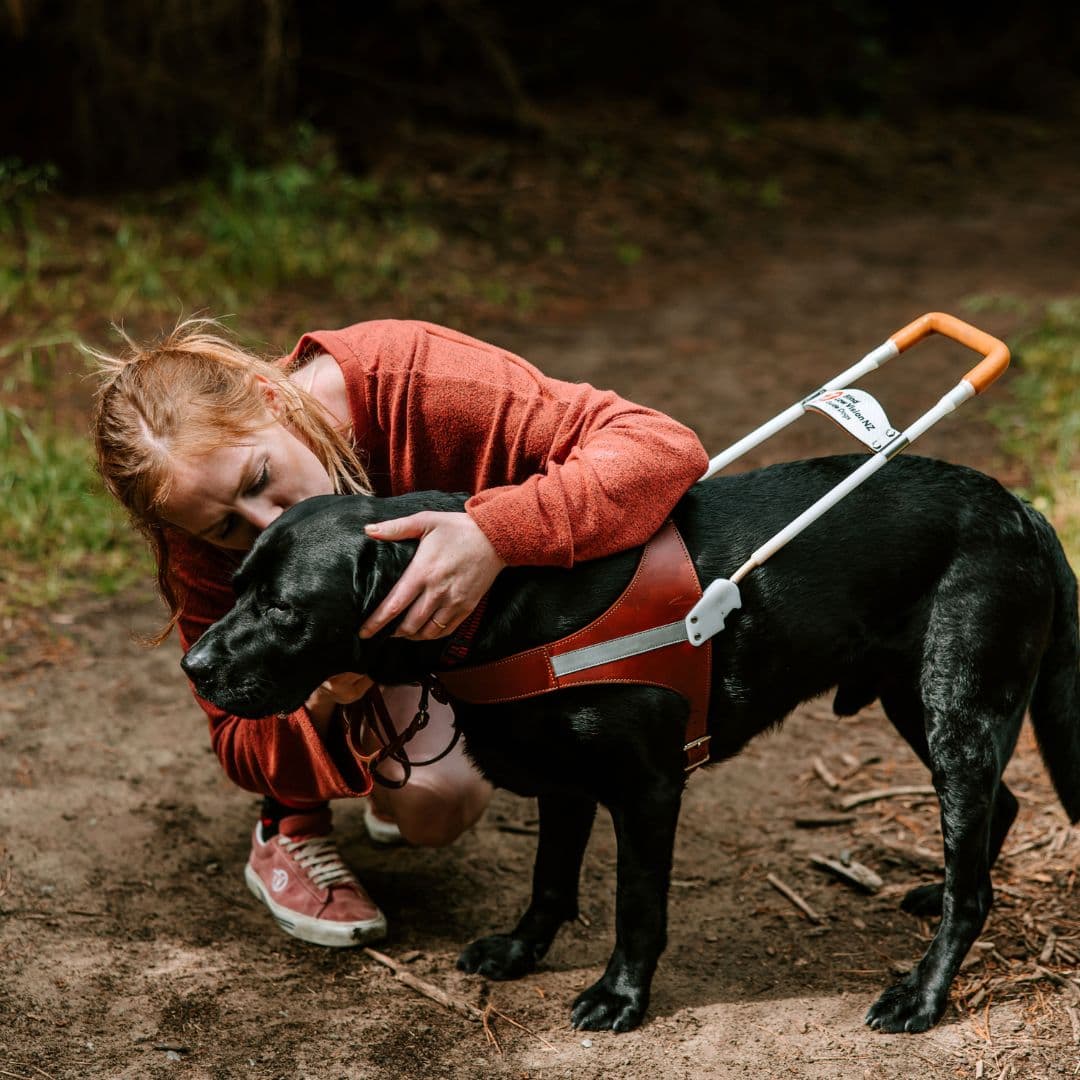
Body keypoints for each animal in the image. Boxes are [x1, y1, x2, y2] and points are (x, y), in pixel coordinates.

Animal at [181, 451, 1075, 1032]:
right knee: (999, 811)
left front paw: (620, 998)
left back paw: (920, 995)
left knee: (975, 883)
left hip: (957, 705)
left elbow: (636, 905)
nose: (193, 666)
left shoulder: (647, 789)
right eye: (235, 586)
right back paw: (931, 894)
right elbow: (549, 880)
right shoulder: (563, 780)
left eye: (284, 610)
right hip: (913, 701)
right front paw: (520, 952)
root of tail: (1026, 511)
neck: (505, 601)